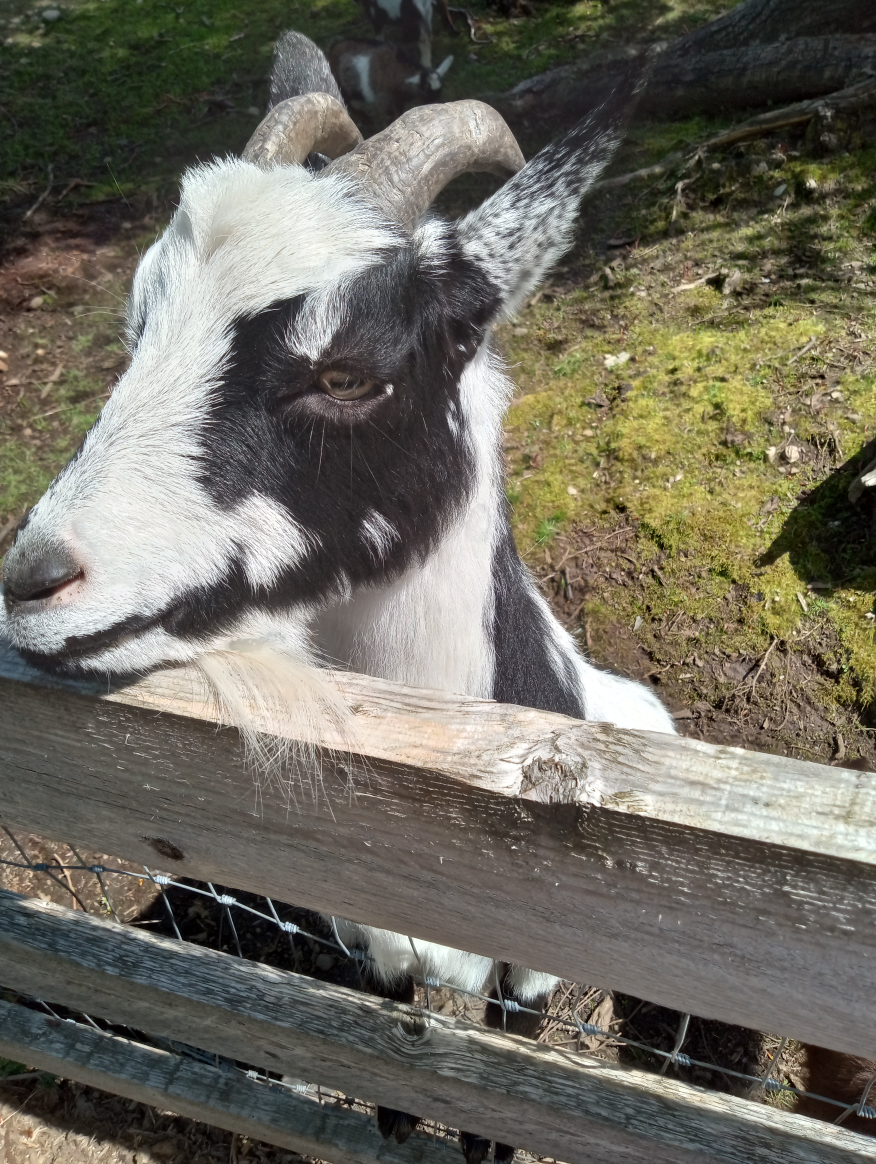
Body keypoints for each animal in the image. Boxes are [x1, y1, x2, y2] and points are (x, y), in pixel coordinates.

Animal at [0, 30, 673, 1162]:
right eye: (140, 329)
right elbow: (396, 1081)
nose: (34, 581)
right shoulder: (377, 956)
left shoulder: (528, 986)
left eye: (346, 372)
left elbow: (496, 1109)